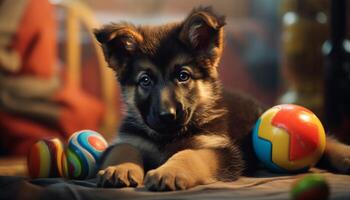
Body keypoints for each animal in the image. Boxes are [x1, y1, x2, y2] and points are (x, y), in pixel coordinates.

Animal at [94, 6, 350, 191]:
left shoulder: (220, 150)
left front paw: (170, 171)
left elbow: (189, 154)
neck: (167, 137)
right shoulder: (129, 138)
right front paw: (119, 168)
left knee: (328, 140)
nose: (168, 116)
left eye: (183, 76)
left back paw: (345, 156)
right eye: (145, 80)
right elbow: (122, 148)